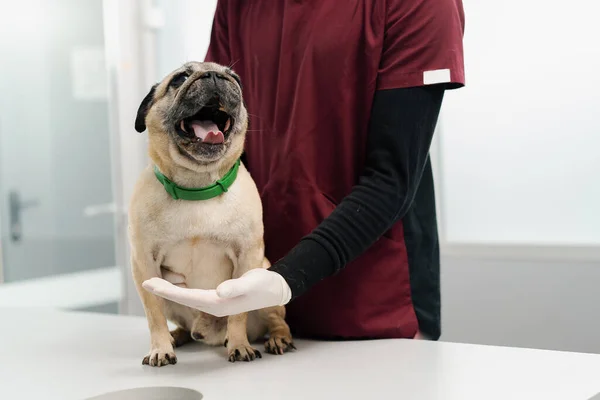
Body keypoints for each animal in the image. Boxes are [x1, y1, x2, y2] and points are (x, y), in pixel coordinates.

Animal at [130, 61, 294, 366]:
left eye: (236, 79)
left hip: (267, 284)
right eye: (179, 79)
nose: (216, 76)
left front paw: (239, 345)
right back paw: (177, 336)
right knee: (176, 322)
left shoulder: (247, 258)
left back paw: (277, 339)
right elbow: (154, 316)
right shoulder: (145, 265)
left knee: (277, 320)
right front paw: (160, 348)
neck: (196, 187)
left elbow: (238, 312)